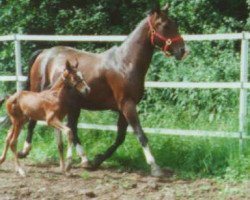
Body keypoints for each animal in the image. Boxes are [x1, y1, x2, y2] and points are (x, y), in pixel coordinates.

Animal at [12, 4, 186, 177]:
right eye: (166, 25)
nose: (182, 50)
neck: (125, 63)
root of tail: (45, 53)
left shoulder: (123, 108)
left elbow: (120, 138)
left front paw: (97, 161)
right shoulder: (127, 104)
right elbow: (140, 133)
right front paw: (155, 167)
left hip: (74, 105)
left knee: (72, 128)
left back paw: (84, 160)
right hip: (40, 94)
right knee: (34, 120)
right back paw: (24, 151)